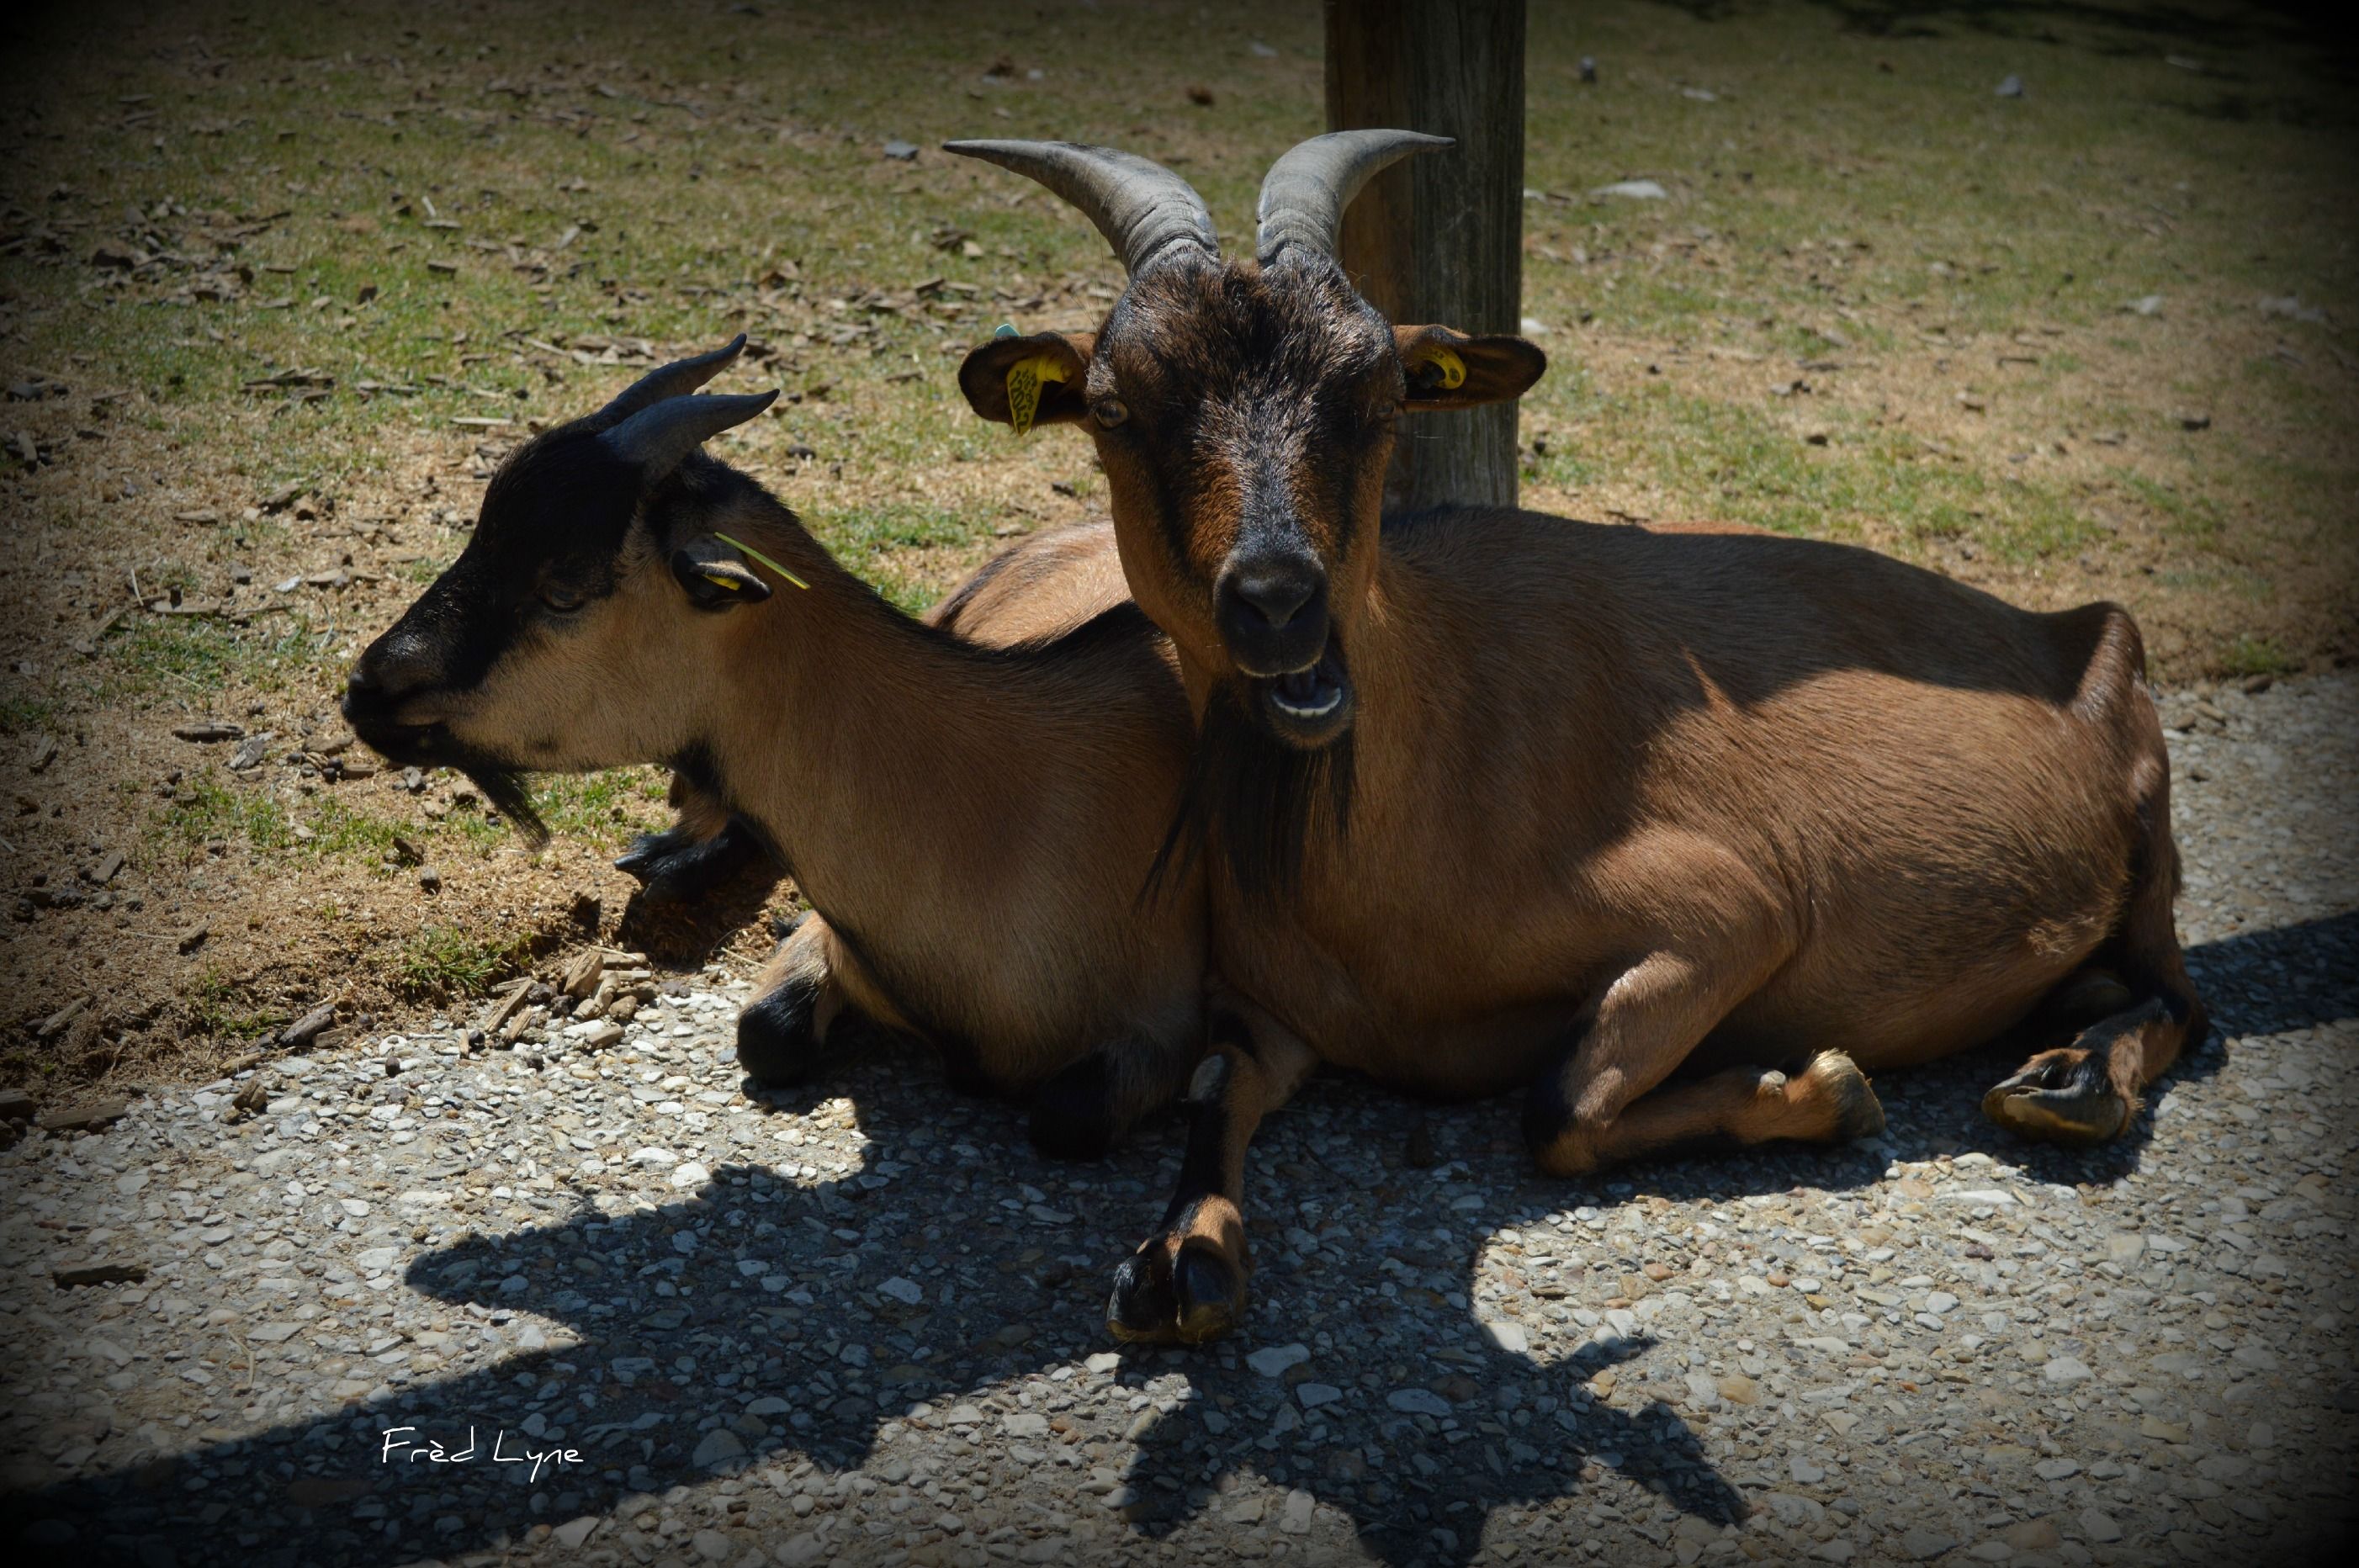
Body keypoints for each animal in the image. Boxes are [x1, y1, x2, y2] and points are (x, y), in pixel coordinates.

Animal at [342, 339, 1207, 1150]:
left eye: (562, 589)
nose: (365, 689)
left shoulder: (1185, 1022)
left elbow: (1068, 1114)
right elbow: (765, 1034)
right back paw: (672, 860)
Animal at [948, 134, 2198, 1339]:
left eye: (1382, 396)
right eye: (1116, 409)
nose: (1275, 598)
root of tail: (2079, 626)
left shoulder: (1732, 910)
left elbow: (1557, 1108)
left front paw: (1824, 1088)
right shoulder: (1274, 1010)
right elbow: (1177, 1095)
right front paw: (1177, 1261)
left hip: (2147, 819)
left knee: (2182, 994)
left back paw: (2071, 1083)